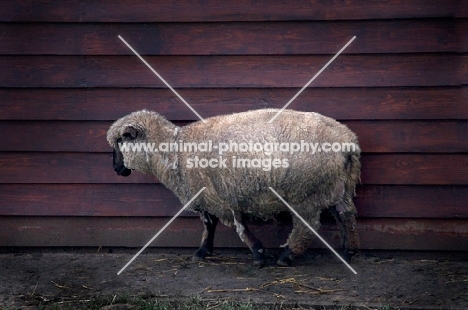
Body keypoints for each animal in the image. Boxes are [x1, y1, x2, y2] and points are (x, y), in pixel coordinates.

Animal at [107, 108, 362, 266]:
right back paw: (348, 252)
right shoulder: (215, 194)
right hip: (339, 185)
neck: (174, 150)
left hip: (304, 191)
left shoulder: (217, 194)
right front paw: (205, 251)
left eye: (120, 141)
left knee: (307, 226)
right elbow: (212, 224)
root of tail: (348, 142)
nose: (116, 169)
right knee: (346, 216)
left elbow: (230, 226)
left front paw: (257, 254)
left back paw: (287, 256)